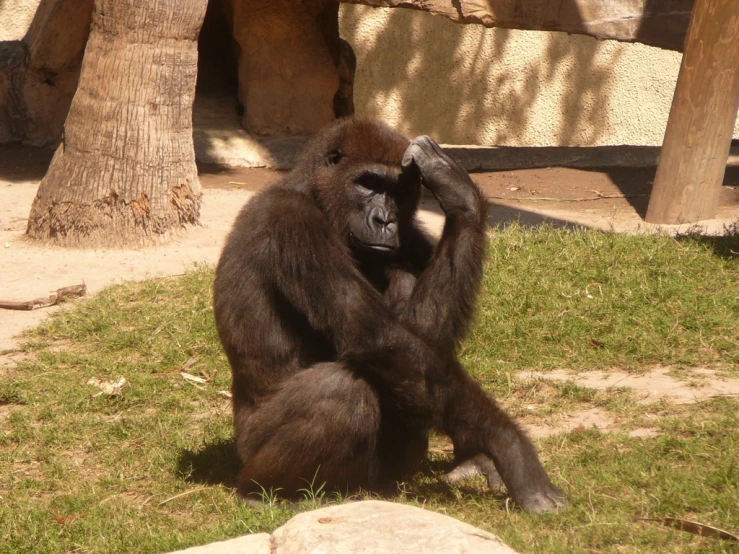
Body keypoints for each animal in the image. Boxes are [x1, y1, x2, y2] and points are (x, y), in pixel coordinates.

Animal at [214, 117, 568, 512]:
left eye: (399, 192)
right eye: (368, 183)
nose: (384, 220)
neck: (316, 196)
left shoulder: (413, 237)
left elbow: (420, 347)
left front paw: (460, 198)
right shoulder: (290, 221)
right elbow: (378, 338)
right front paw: (509, 446)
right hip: (251, 447)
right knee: (344, 392)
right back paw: (263, 492)